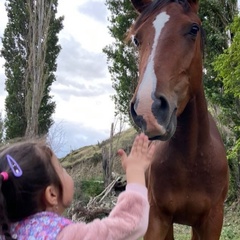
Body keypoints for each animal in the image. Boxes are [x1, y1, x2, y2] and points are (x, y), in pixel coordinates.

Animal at [128, 0, 230, 238]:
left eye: (194, 29)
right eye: (137, 39)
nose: (148, 109)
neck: (192, 159)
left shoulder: (212, 221)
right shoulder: (157, 218)